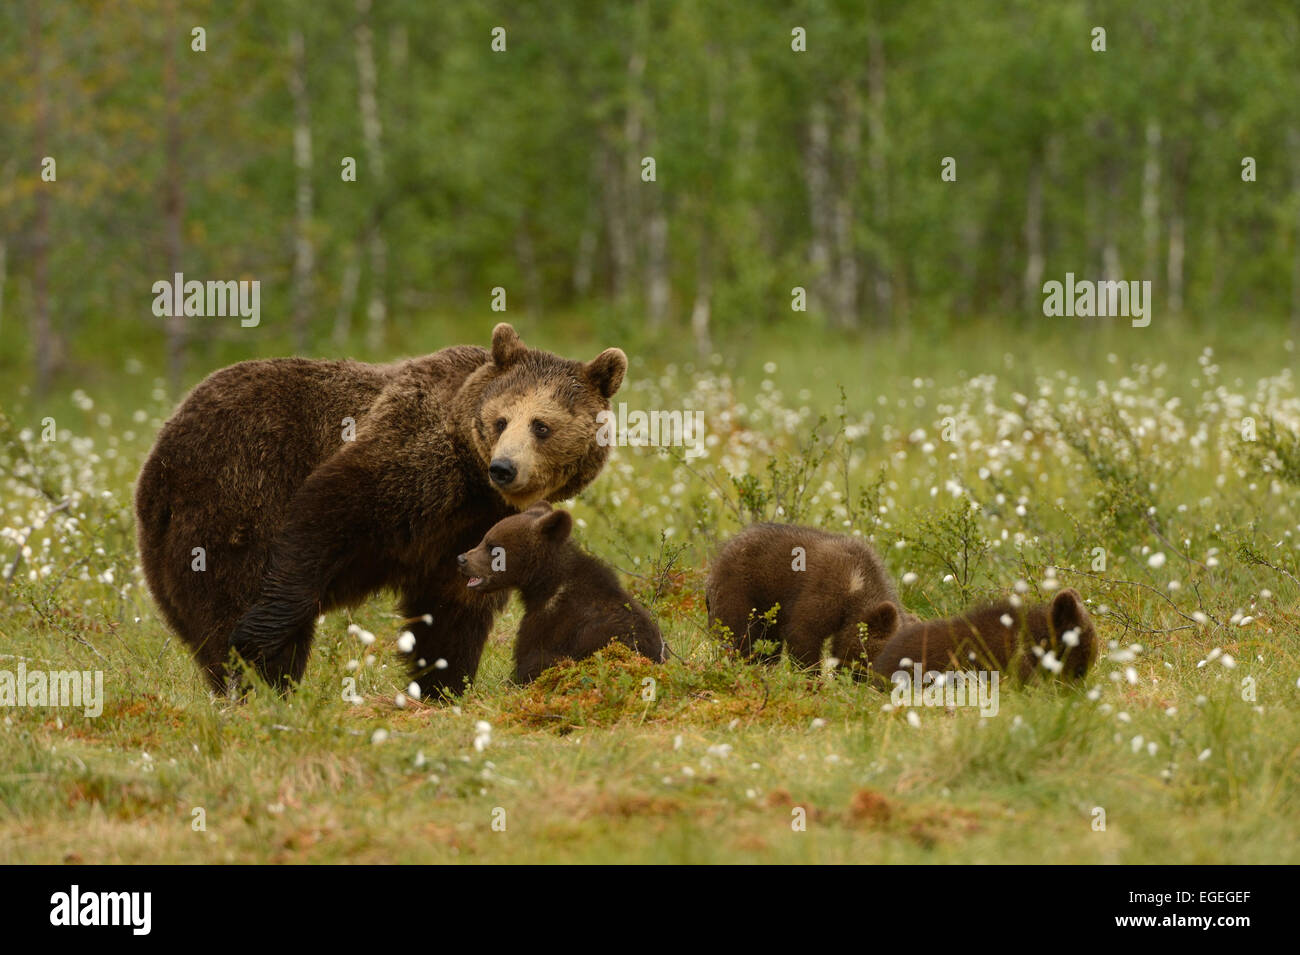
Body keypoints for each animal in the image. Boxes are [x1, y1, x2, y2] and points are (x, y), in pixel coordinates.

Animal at [134, 323, 627, 697]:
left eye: (542, 426)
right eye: (501, 420)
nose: (504, 468)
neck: (470, 481)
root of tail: (159, 456)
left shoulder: (468, 527)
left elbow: (453, 604)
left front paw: (443, 684)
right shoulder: (408, 456)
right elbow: (325, 513)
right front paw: (258, 636)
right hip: (232, 495)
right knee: (229, 595)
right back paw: (260, 686)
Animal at [456, 502, 666, 683]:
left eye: (492, 545)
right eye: (484, 538)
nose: (462, 559)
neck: (546, 584)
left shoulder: (551, 622)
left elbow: (528, 658)